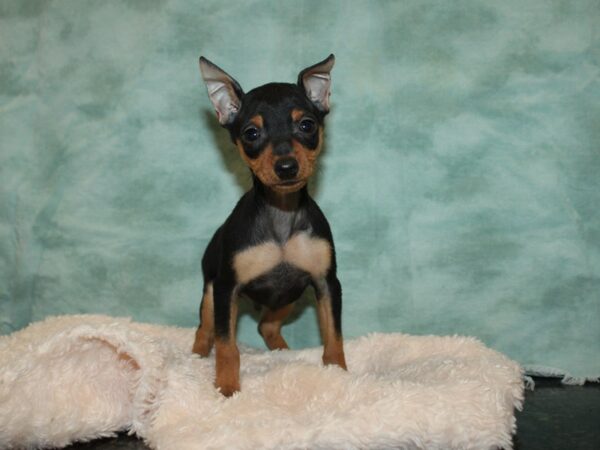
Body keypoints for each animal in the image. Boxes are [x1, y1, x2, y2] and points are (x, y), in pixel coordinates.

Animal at [190, 54, 344, 396]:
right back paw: (195, 356)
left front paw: (340, 373)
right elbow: (227, 345)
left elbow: (334, 336)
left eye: (307, 125)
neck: (281, 214)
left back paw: (282, 351)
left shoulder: (326, 283)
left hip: (289, 296)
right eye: (251, 133)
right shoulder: (226, 290)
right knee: (204, 328)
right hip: (211, 292)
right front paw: (227, 387)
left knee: (265, 324)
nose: (286, 167)